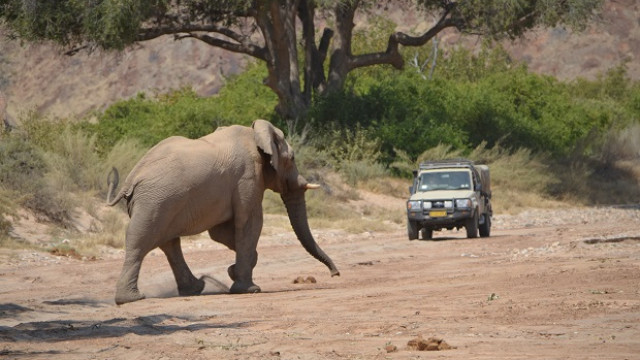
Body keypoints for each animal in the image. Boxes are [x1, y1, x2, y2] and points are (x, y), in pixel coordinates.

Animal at [106, 120, 340, 304]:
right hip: (155, 202)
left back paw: (195, 288)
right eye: (291, 158)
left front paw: (234, 271)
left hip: (159, 202)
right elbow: (250, 223)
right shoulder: (247, 177)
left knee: (169, 243)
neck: (254, 134)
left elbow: (221, 233)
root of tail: (131, 179)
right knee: (141, 241)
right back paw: (132, 299)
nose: (335, 274)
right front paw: (249, 288)